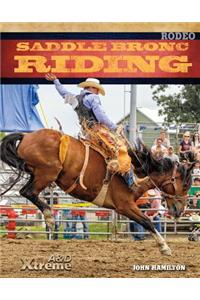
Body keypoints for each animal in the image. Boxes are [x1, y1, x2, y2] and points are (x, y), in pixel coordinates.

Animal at [0, 128, 194, 255]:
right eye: (185, 185)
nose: (181, 210)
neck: (137, 172)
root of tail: (27, 136)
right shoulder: (125, 206)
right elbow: (147, 221)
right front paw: (164, 247)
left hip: (38, 174)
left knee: (26, 191)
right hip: (47, 173)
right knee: (27, 192)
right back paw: (49, 216)